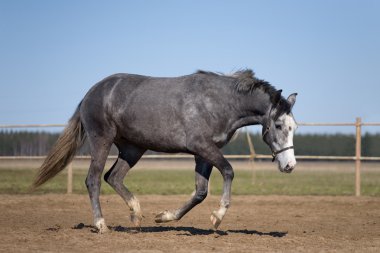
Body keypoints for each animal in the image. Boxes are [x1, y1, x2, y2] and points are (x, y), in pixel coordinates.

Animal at [32, 69, 298, 233]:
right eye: (278, 125)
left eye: (293, 126)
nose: (289, 166)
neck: (219, 103)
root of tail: (91, 92)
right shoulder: (201, 146)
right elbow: (229, 171)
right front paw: (217, 216)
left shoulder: (203, 154)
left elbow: (200, 192)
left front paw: (164, 216)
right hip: (102, 141)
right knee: (94, 179)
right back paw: (100, 224)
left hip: (133, 148)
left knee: (113, 177)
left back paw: (136, 214)